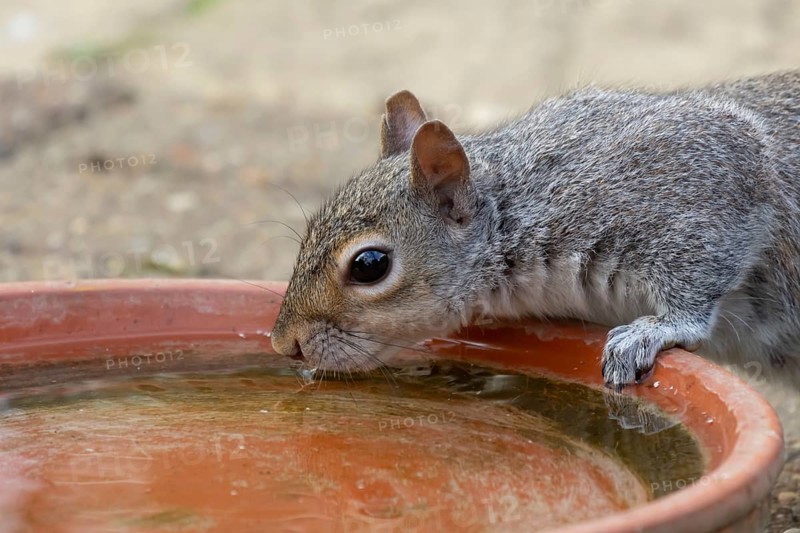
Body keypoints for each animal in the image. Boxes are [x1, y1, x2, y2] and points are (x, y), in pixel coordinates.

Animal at [270, 71, 800, 391]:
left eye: (370, 265)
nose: (284, 344)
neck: (515, 213)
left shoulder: (694, 177)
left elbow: (698, 273)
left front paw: (655, 330)